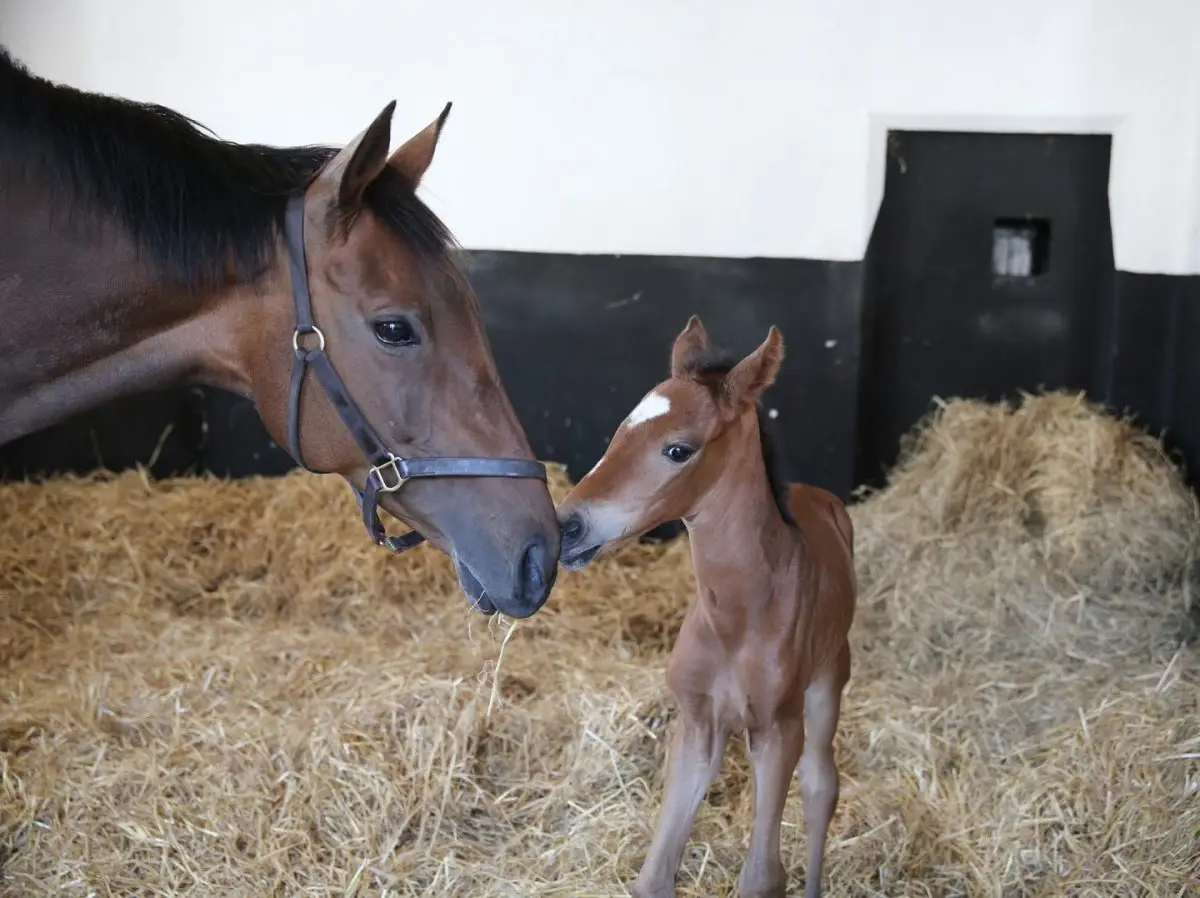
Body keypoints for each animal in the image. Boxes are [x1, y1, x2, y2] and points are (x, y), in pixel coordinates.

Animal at [555, 316, 858, 897]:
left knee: (820, 784)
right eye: (620, 431)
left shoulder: (777, 731)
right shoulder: (697, 724)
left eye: (679, 450)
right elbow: (653, 876)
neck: (738, 618)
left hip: (829, 678)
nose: (568, 526)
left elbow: (763, 875)